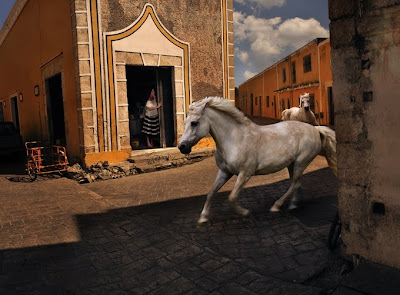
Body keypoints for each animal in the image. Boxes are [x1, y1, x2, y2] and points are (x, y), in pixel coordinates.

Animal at [179, 96, 338, 224]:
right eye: (185, 122)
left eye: (194, 123)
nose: (182, 147)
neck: (235, 139)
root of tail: (315, 130)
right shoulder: (224, 172)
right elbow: (211, 192)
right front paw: (203, 218)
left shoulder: (245, 173)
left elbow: (232, 197)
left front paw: (245, 212)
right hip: (292, 164)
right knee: (296, 183)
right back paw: (293, 204)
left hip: (301, 162)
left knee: (294, 183)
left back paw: (276, 206)